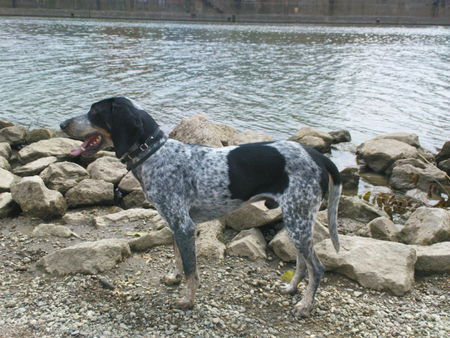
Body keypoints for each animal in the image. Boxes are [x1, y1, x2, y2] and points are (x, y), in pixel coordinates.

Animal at [59, 95, 342, 316]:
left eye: (95, 112)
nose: (62, 123)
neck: (155, 154)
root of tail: (316, 155)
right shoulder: (174, 224)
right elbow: (177, 259)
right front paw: (174, 279)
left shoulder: (184, 226)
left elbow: (190, 270)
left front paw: (188, 300)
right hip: (297, 221)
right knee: (302, 264)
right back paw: (291, 289)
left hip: (298, 220)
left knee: (317, 268)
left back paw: (305, 305)